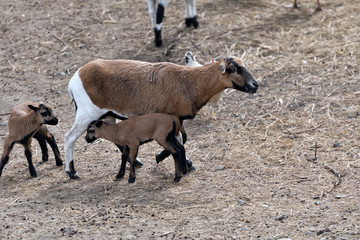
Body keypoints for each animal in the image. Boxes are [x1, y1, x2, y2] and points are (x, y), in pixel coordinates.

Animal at [64, 56, 258, 179]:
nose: (255, 85)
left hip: (107, 114)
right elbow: (179, 140)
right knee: (69, 137)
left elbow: (181, 140)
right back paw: (71, 172)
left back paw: (137, 162)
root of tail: (75, 80)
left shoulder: (178, 120)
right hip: (87, 113)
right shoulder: (172, 118)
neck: (191, 82)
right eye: (232, 69)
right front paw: (176, 162)